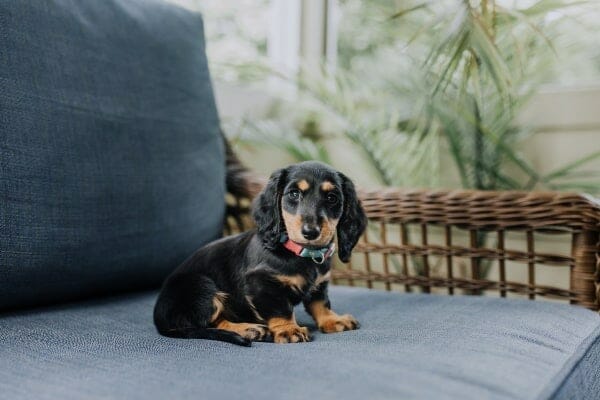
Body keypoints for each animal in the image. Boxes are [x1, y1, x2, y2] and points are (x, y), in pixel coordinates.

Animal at [152, 161, 368, 346]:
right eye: (294, 194)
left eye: (332, 198)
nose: (310, 232)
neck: (299, 252)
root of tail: (159, 319)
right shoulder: (262, 283)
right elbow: (280, 309)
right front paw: (289, 330)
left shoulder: (320, 284)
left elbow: (320, 303)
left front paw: (332, 320)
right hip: (200, 286)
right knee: (210, 322)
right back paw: (249, 329)